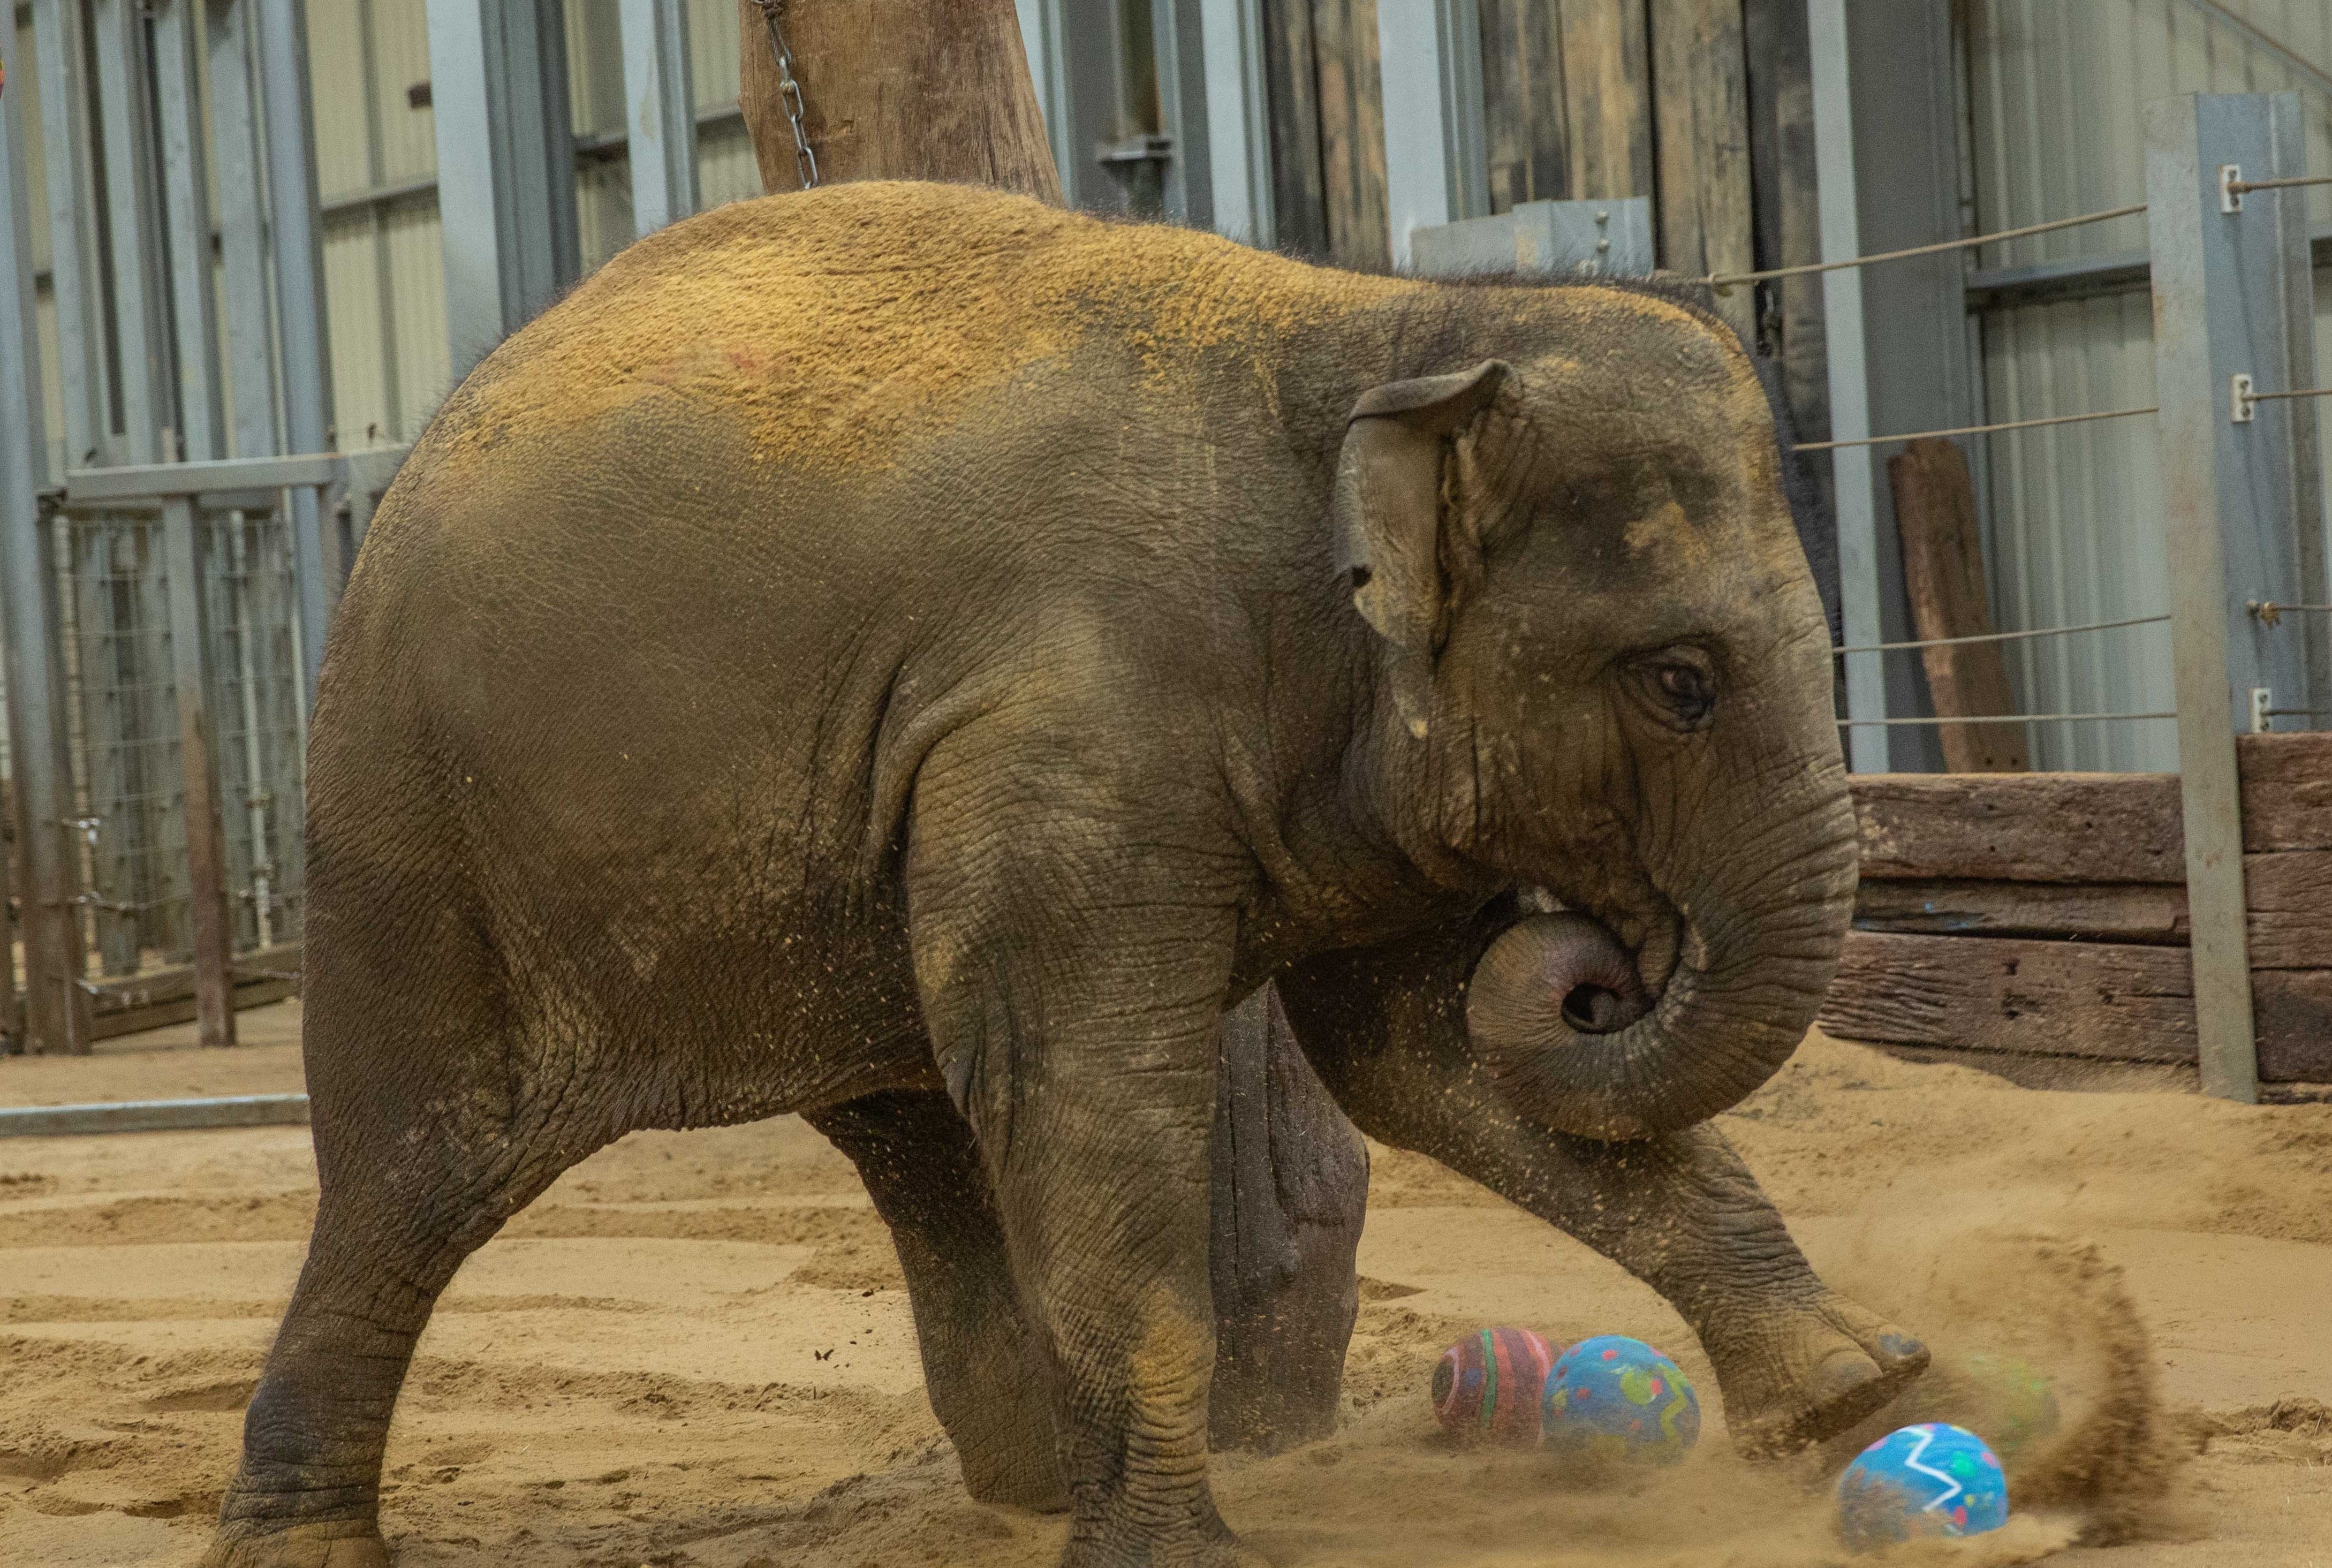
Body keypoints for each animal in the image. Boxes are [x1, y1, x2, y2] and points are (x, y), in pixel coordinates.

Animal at [206, 181, 1926, 1568]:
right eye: (1679, 681)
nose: (1594, 967)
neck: (1378, 333)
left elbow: (1420, 1060)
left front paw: (1857, 1399)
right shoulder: (1068, 738)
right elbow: (1106, 1090)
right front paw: (1182, 1556)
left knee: (922, 1137)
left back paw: (1024, 1487)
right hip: (415, 846)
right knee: (413, 1173)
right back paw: (300, 1545)